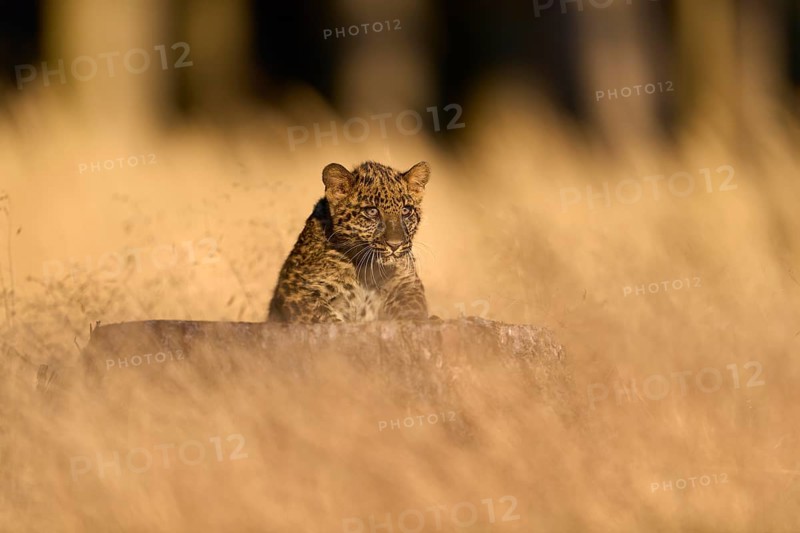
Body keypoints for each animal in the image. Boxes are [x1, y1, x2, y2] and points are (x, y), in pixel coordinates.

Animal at [267, 160, 431, 323]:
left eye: (406, 210)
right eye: (372, 211)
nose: (395, 245)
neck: (365, 268)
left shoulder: (407, 282)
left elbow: (412, 310)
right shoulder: (296, 288)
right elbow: (325, 319)